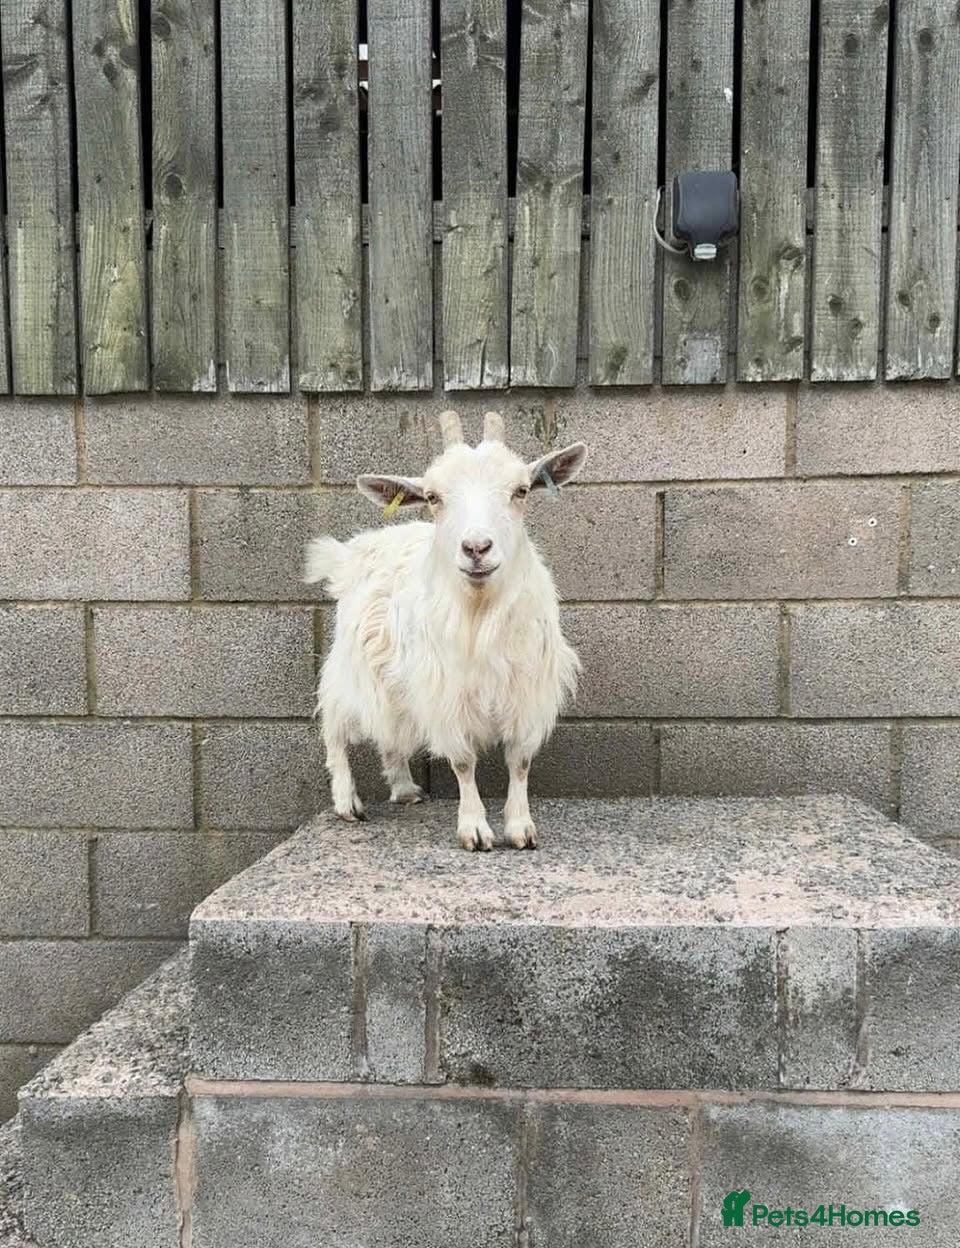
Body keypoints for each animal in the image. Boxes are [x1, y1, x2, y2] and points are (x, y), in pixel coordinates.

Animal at [304, 409, 588, 850]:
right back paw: (346, 801)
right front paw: (474, 828)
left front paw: (520, 828)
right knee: (334, 722)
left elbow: (520, 760)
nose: (476, 548)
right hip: (352, 664)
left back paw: (405, 789)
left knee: (390, 732)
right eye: (434, 497)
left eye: (521, 490)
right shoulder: (446, 692)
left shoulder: (527, 689)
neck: (480, 611)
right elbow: (463, 761)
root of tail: (351, 553)